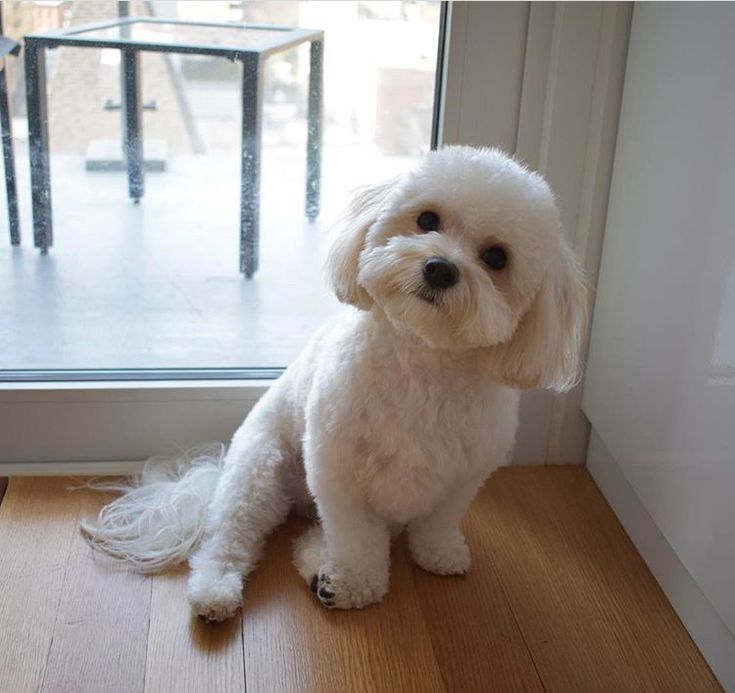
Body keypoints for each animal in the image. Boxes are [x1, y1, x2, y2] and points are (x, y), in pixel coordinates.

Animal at [82, 146, 588, 620]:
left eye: (497, 258)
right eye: (427, 219)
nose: (440, 268)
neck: (423, 362)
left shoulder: (464, 475)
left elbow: (437, 523)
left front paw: (439, 554)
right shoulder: (339, 473)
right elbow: (356, 540)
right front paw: (356, 585)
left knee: (309, 536)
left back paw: (317, 566)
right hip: (259, 474)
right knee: (230, 537)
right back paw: (219, 589)